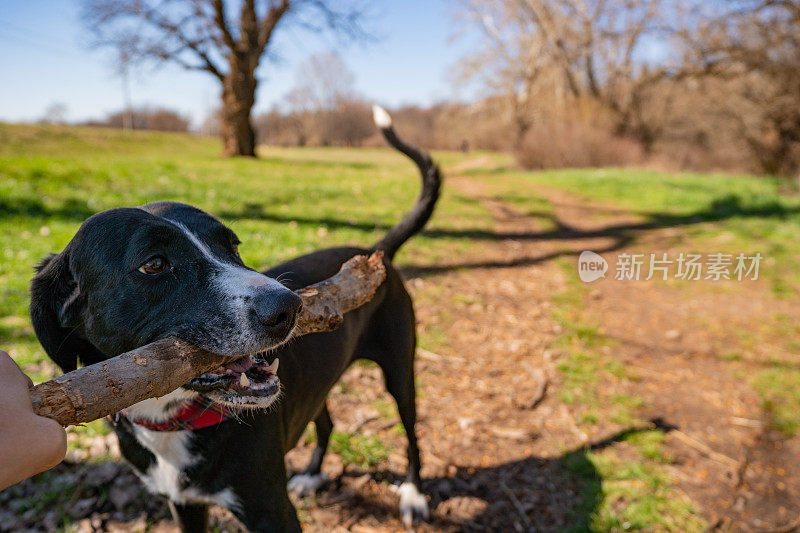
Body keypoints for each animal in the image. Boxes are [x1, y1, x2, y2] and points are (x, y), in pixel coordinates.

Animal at [29, 106, 438, 528]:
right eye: (154, 264)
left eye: (233, 245)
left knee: (412, 435)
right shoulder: (185, 505)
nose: (289, 307)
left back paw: (412, 494)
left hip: (399, 370)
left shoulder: (271, 511)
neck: (170, 419)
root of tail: (376, 253)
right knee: (326, 419)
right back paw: (312, 474)